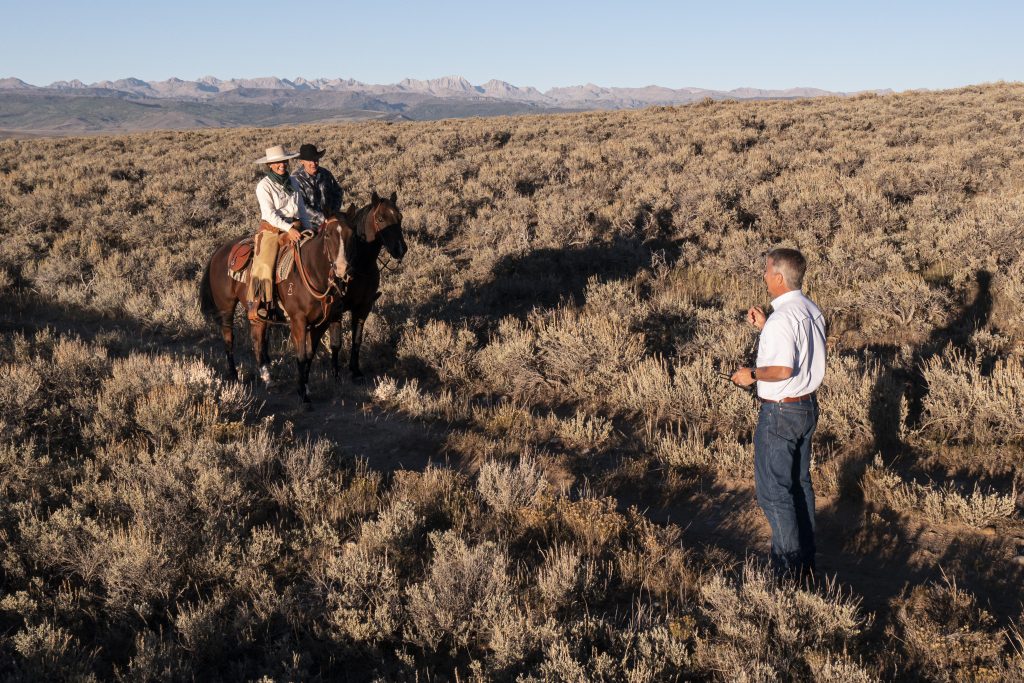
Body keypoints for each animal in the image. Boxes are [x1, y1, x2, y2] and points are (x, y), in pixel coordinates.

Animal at [197, 189, 405, 401]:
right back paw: (233, 376)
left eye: (400, 218)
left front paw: (351, 374)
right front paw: (323, 382)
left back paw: (268, 378)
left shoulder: (357, 308)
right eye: (380, 218)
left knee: (258, 339)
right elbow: (321, 349)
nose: (401, 249)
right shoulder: (305, 319)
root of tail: (219, 251)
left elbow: (350, 341)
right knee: (229, 338)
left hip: (259, 312)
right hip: (226, 308)